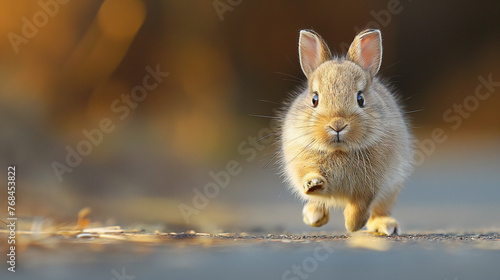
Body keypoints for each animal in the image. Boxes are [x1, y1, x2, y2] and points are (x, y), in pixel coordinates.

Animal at [282, 29, 414, 234]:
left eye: (360, 99)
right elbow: (312, 177)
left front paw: (353, 225)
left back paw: (385, 226)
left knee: (379, 209)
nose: (337, 124)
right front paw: (312, 184)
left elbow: (361, 205)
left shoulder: (371, 186)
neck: (339, 151)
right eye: (314, 99)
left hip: (391, 190)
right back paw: (313, 216)